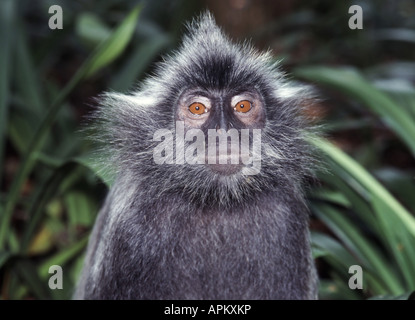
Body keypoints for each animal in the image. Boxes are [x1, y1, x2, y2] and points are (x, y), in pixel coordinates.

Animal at [75, 11, 320, 298]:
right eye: (197, 108)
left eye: (243, 106)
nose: (224, 132)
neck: (216, 201)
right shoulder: (129, 223)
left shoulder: (286, 213)